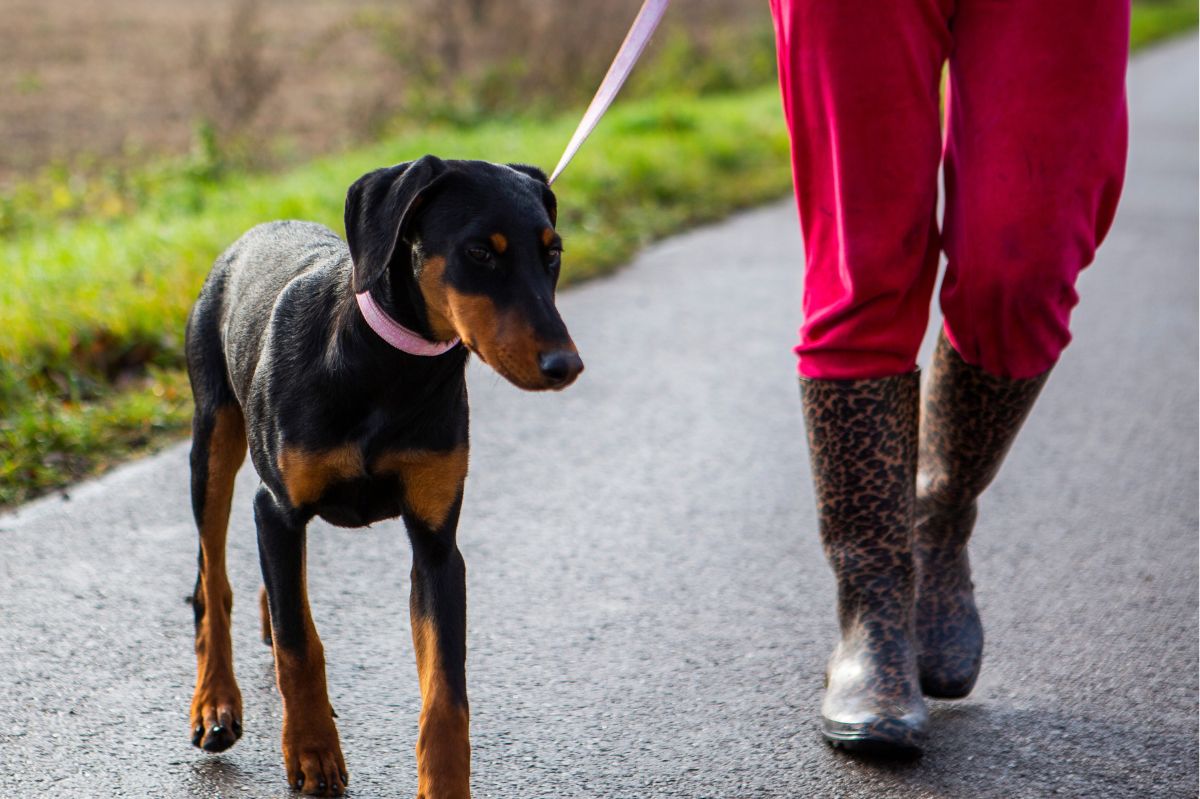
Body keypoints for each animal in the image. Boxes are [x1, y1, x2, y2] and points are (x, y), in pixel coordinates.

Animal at [183, 152, 585, 791]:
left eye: (553, 252)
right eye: (480, 251)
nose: (565, 364)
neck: (388, 367)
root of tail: (256, 232)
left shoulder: (437, 543)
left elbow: (446, 693)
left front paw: (444, 786)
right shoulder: (277, 509)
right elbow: (298, 648)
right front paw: (313, 752)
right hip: (213, 439)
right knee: (211, 579)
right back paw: (216, 702)